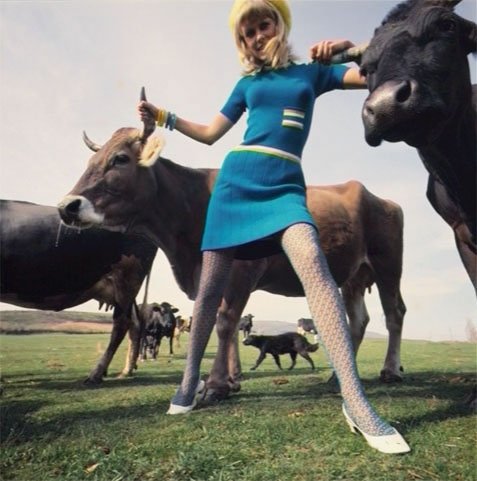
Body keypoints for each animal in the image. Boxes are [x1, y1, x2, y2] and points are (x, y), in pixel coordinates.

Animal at [0, 199, 157, 384]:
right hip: (121, 288)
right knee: (135, 323)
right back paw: (126, 370)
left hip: (127, 277)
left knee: (121, 323)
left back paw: (96, 373)